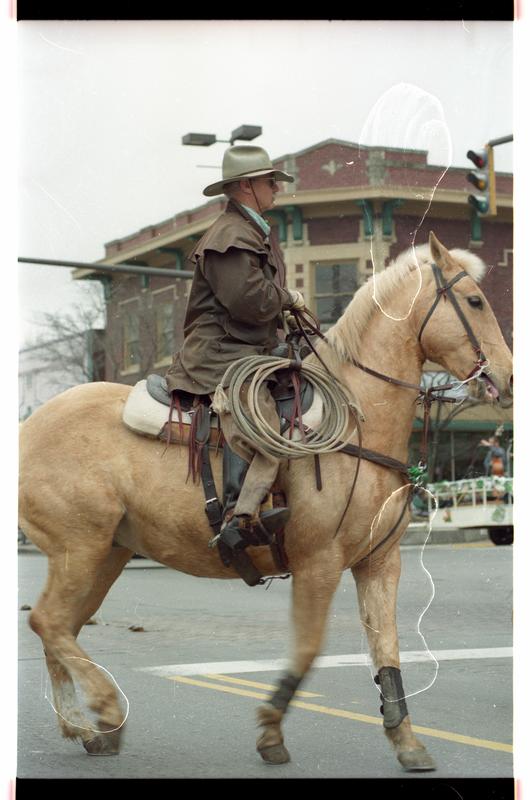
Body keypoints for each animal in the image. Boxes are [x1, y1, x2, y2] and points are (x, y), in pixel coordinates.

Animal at [18, 232, 512, 771]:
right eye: (475, 301)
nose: (508, 377)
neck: (357, 419)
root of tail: (27, 425)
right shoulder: (319, 562)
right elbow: (309, 648)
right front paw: (271, 731)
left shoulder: (380, 562)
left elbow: (387, 649)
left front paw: (407, 742)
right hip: (79, 548)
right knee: (48, 621)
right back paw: (105, 708)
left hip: (107, 552)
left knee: (60, 627)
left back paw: (84, 726)